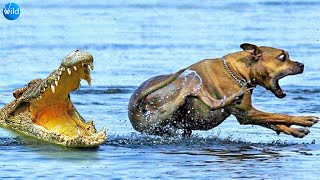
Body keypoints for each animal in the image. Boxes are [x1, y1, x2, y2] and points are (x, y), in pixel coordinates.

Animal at [127, 43, 318, 138]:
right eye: (282, 57)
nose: (302, 65)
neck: (237, 71)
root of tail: (134, 107)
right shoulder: (246, 112)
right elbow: (280, 115)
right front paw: (304, 120)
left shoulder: (247, 115)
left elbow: (274, 121)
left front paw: (295, 131)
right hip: (189, 79)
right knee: (210, 101)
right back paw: (233, 97)